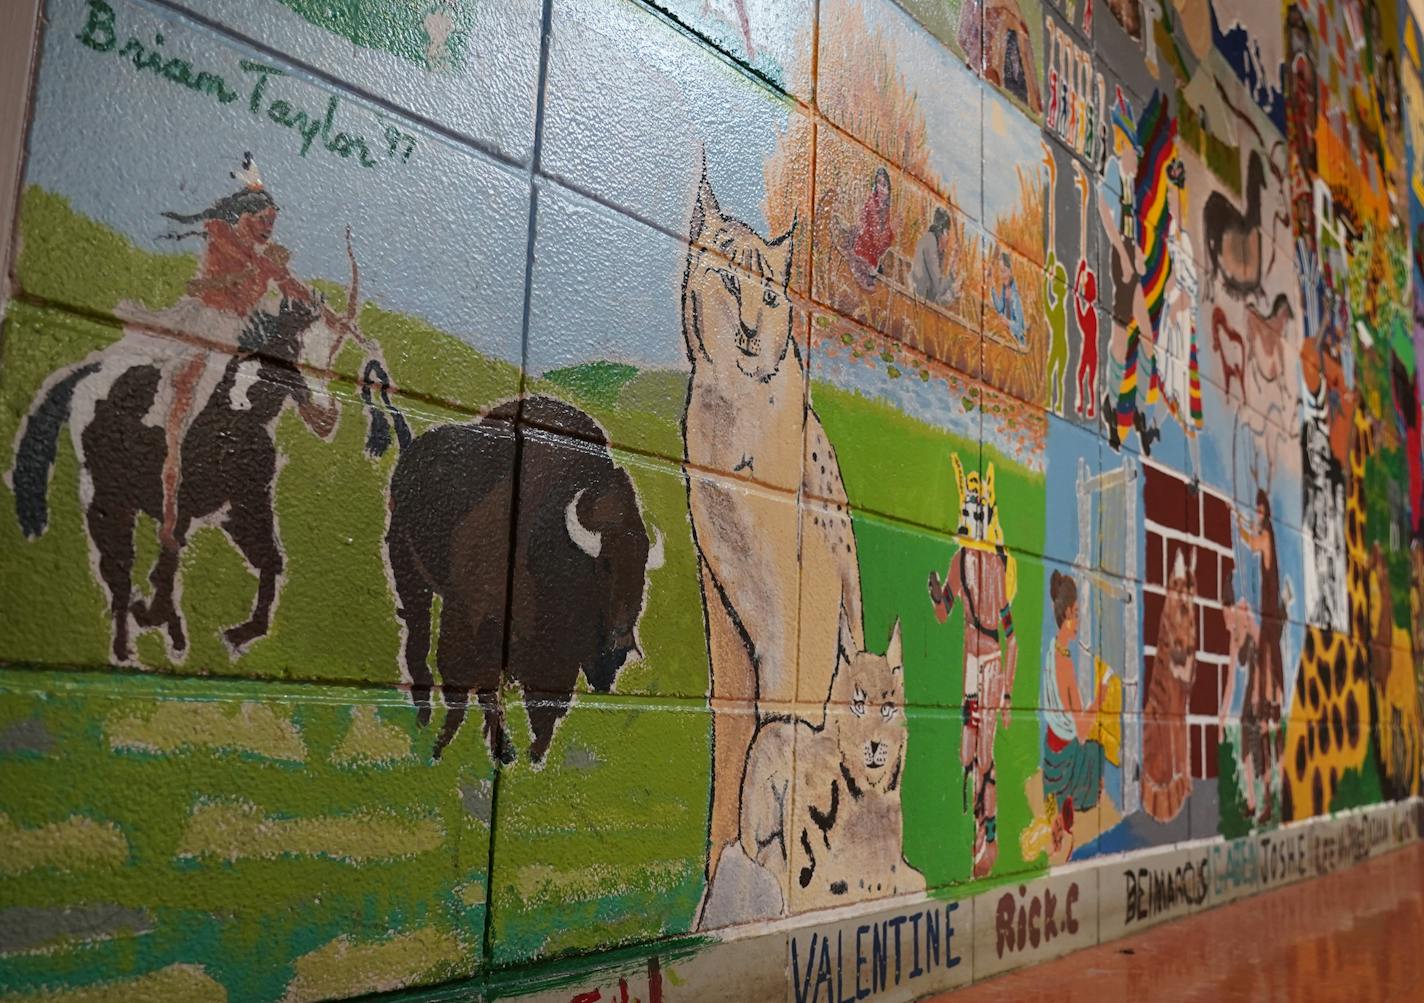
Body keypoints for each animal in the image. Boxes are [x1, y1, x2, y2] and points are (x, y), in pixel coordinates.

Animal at [364, 373, 663, 763]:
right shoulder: (473, 615)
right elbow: (470, 682)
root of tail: (412, 450)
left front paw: (530, 754)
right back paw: (426, 716)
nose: (621, 643)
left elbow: (544, 706)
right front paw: (458, 746)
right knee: (418, 635)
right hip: (407, 568)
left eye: (642, 569)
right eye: (605, 566)